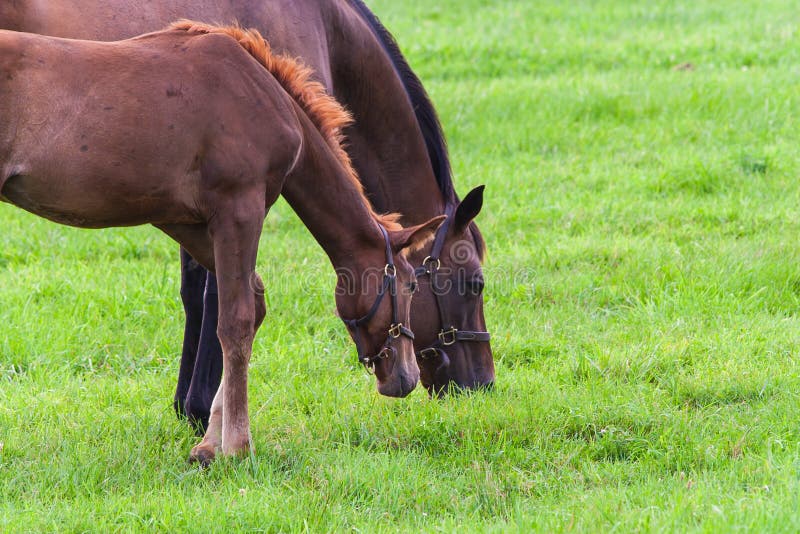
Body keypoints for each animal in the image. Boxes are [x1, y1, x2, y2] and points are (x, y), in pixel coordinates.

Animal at [0, 0, 494, 430]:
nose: (480, 384)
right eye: (473, 283)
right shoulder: (236, 207)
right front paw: (211, 425)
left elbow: (215, 298)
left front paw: (198, 415)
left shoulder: (187, 217)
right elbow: (228, 309)